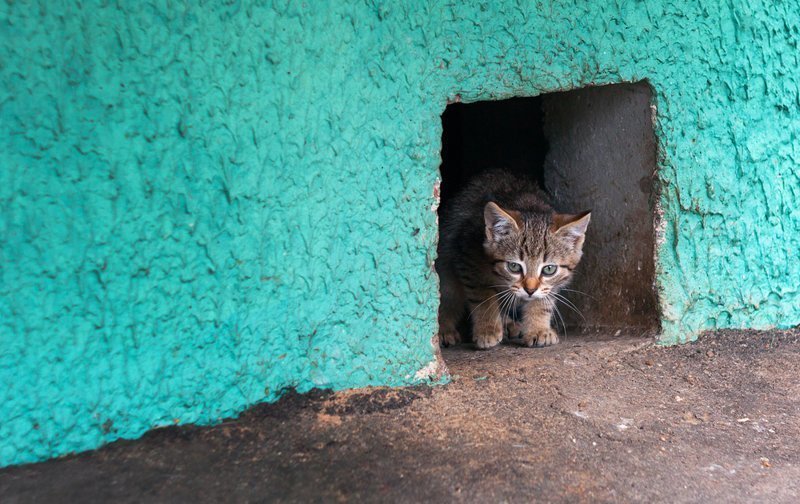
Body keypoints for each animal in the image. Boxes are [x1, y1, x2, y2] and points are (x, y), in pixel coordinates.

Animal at [438, 169, 588, 350]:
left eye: (549, 269)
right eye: (514, 267)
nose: (530, 290)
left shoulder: (551, 284)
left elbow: (543, 300)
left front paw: (538, 329)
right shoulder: (467, 257)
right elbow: (483, 296)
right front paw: (488, 329)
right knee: (447, 295)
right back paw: (443, 329)